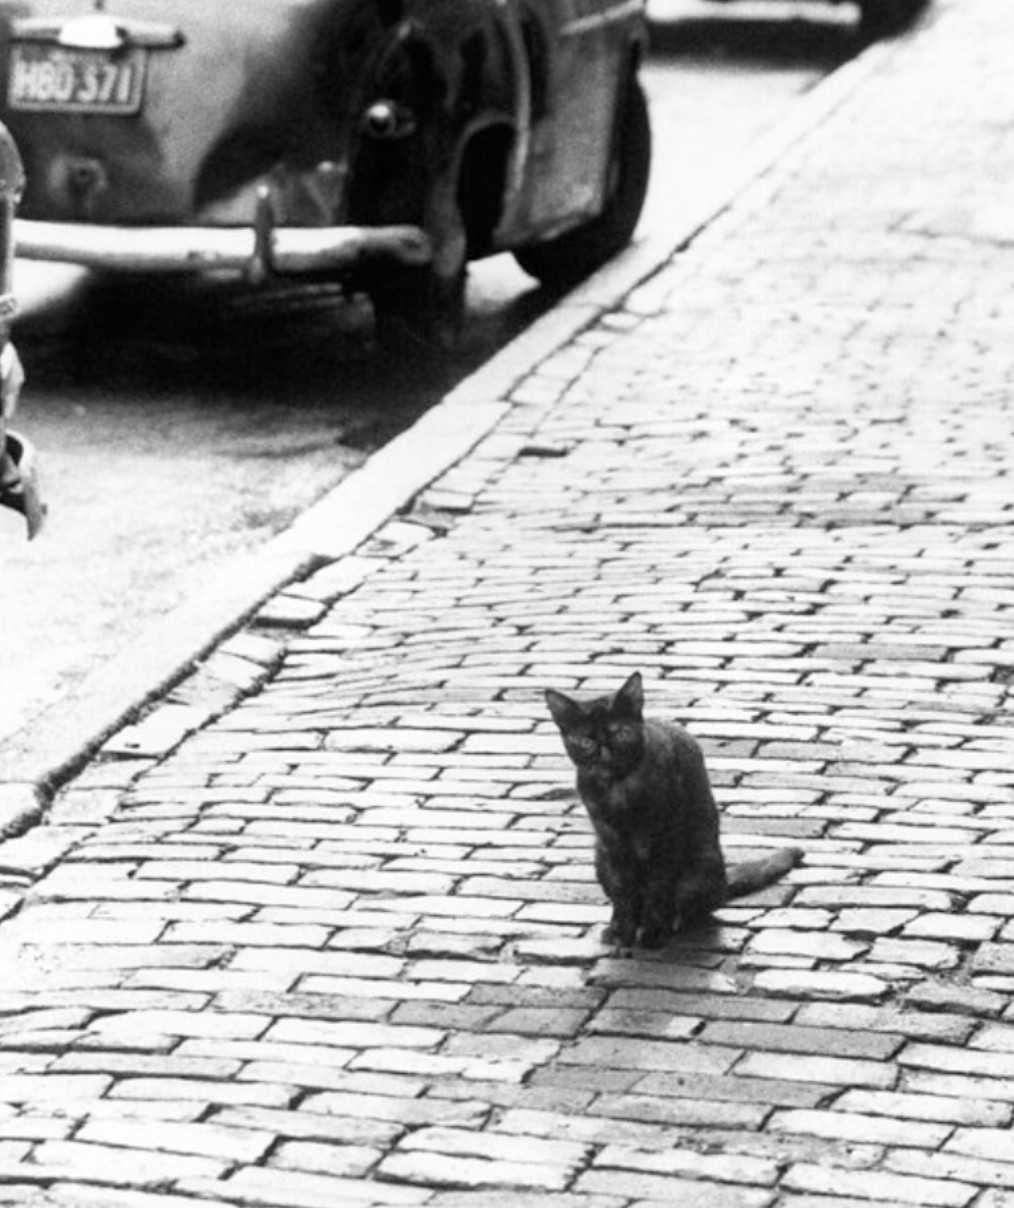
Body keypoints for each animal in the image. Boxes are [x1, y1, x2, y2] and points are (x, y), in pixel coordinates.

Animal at [543, 671, 807, 942]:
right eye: (586, 741)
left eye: (622, 733)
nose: (605, 750)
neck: (619, 787)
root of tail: (724, 883)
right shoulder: (611, 841)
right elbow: (623, 892)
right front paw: (623, 931)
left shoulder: (666, 835)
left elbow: (658, 887)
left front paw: (652, 933)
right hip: (600, 859)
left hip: (700, 866)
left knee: (694, 907)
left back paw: (674, 923)